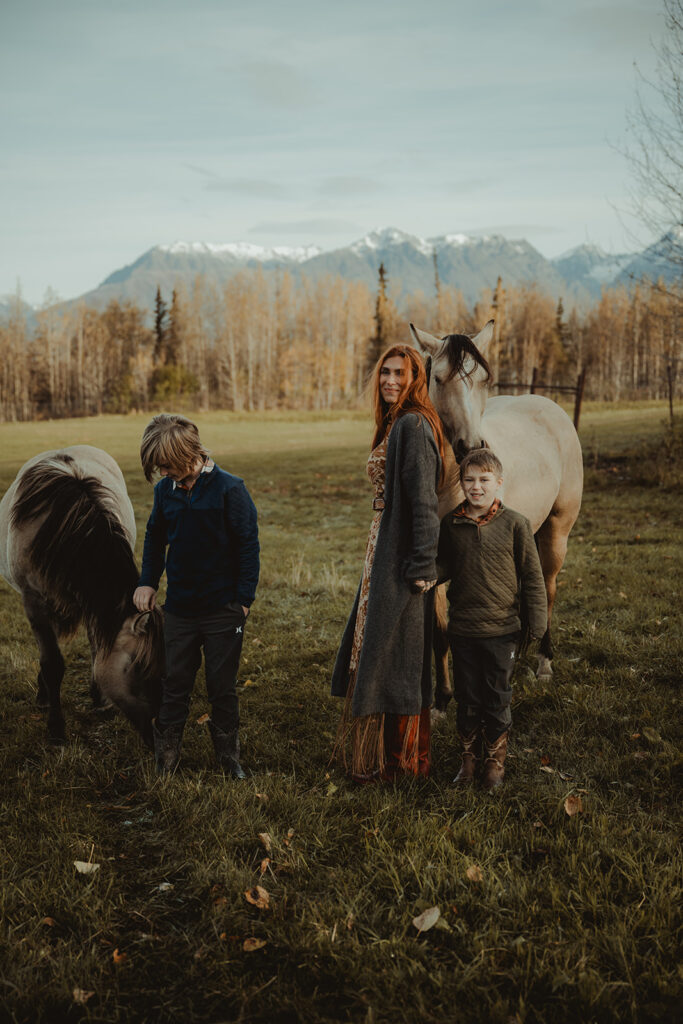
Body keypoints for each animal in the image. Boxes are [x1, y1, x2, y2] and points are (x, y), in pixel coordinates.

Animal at [0, 446, 163, 745]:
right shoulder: (34, 602)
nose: (159, 733)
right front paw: (56, 727)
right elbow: (52, 663)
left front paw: (99, 699)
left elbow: (97, 648)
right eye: (138, 667)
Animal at [409, 319, 585, 704]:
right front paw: (442, 700)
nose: (473, 447)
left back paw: (544, 662)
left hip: (557, 531)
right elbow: (440, 632)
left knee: (547, 589)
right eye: (439, 379)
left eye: (483, 380)